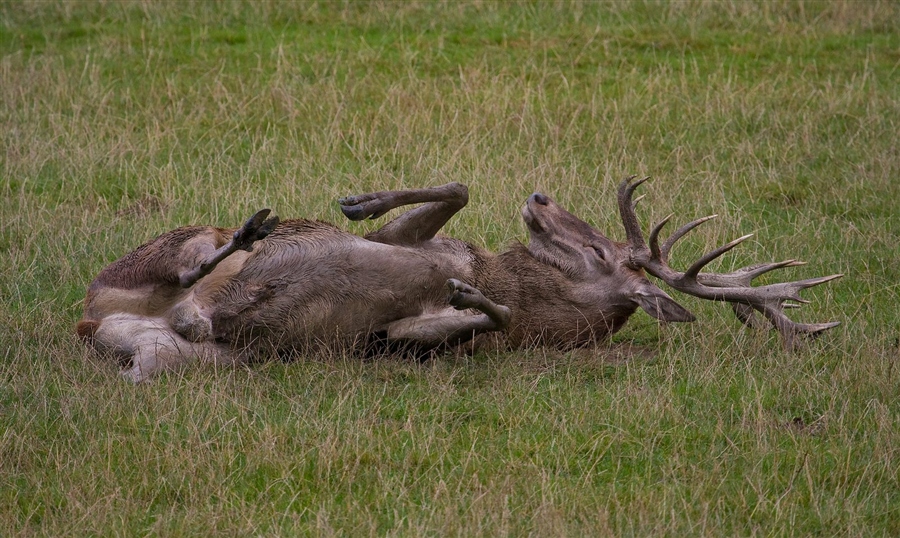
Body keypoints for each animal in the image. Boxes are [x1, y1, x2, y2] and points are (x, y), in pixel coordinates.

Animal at [77, 178, 844, 378]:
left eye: (605, 255)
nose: (540, 198)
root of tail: (91, 320)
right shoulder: (416, 242)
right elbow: (454, 191)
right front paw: (358, 200)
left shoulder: (393, 339)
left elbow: (463, 322)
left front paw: (471, 300)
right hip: (163, 252)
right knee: (196, 264)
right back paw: (244, 237)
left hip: (186, 358)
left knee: (183, 330)